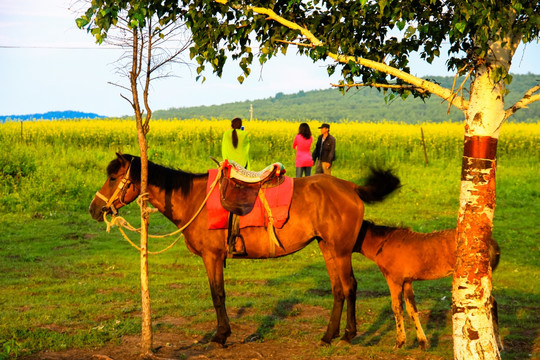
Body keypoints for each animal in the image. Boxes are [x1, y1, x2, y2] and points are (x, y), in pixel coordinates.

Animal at [89, 154, 400, 346]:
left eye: (113, 178)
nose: (94, 209)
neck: (194, 199)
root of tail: (351, 187)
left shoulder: (212, 257)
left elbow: (218, 295)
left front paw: (220, 335)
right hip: (328, 249)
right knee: (338, 290)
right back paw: (328, 335)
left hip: (341, 250)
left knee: (349, 287)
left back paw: (348, 334)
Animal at [354, 221, 502, 350]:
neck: (384, 243)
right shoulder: (407, 282)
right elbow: (412, 309)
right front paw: (423, 342)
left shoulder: (394, 281)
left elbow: (397, 308)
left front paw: (400, 342)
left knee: (490, 303)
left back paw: (497, 343)